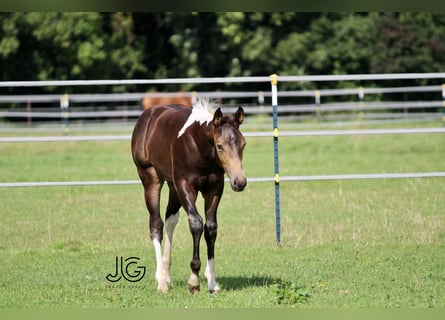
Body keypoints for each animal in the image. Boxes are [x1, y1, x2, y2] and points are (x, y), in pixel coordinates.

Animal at [131, 99, 246, 294]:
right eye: (220, 146)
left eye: (243, 144)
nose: (240, 182)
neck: (198, 145)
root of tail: (147, 115)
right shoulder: (185, 185)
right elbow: (196, 223)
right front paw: (194, 281)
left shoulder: (215, 187)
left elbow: (211, 227)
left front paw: (212, 282)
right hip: (150, 178)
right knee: (156, 224)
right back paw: (161, 281)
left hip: (172, 186)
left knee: (170, 220)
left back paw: (167, 275)